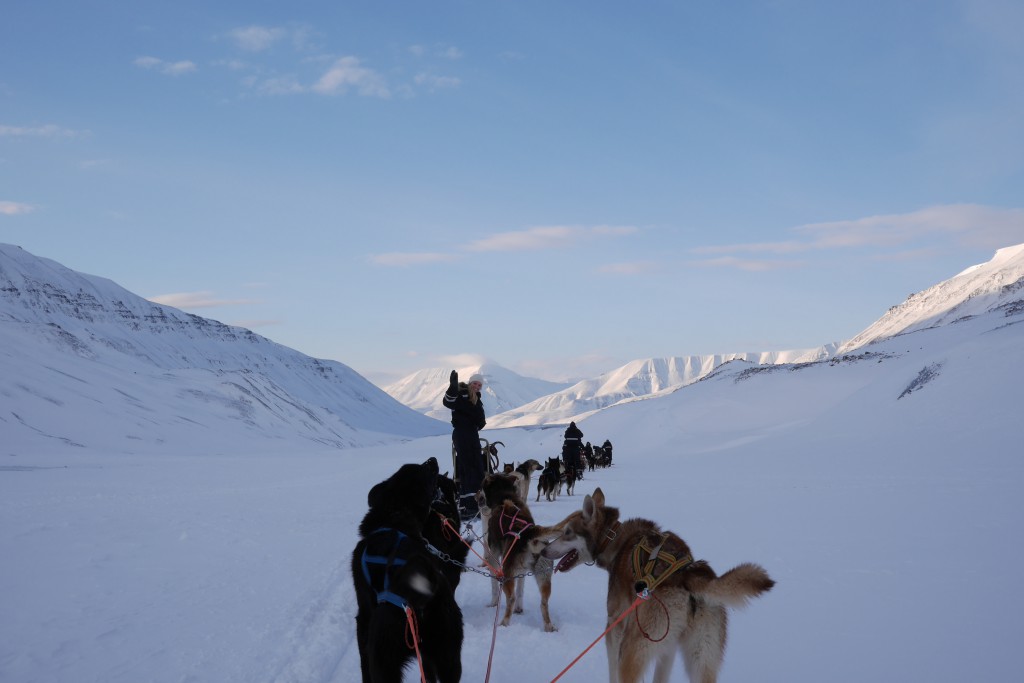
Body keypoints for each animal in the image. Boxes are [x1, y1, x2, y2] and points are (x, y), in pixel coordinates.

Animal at [352, 458, 464, 683]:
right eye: (424, 469)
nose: (432, 459)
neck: (393, 516)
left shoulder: (363, 618)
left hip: (384, 660)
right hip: (446, 653)